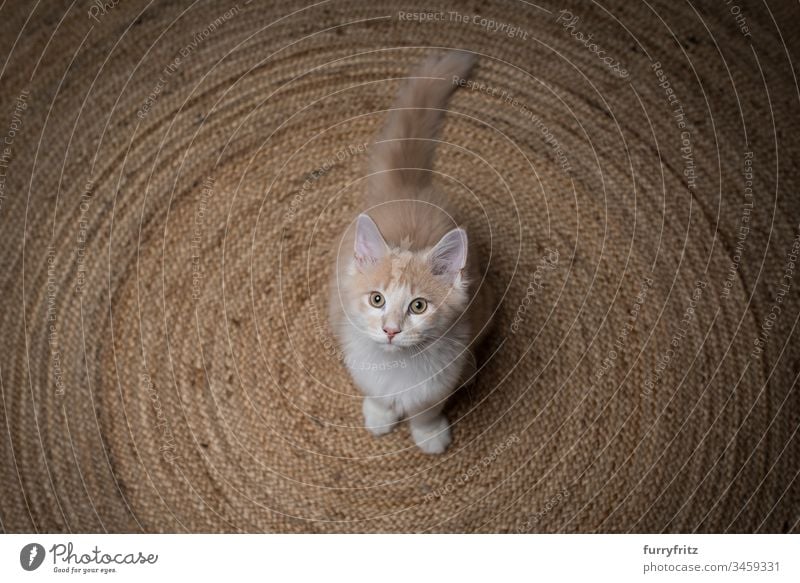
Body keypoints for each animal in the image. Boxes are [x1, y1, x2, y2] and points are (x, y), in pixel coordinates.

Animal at [328, 51, 490, 456]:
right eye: (377, 299)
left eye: (418, 306)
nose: (390, 330)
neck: (397, 367)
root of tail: (408, 187)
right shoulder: (361, 365)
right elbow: (377, 396)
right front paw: (379, 417)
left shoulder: (439, 381)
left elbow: (426, 410)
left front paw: (430, 435)